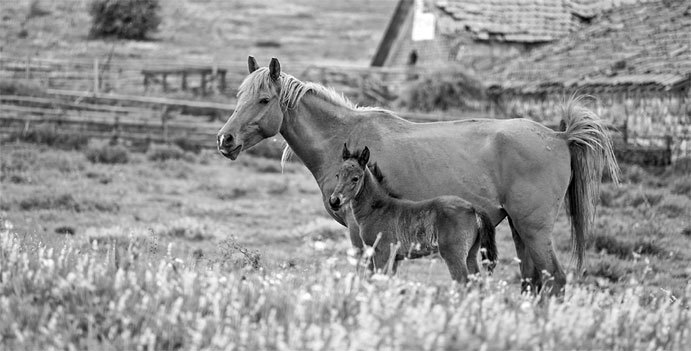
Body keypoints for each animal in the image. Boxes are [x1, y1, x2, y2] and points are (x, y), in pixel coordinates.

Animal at [330, 144, 498, 284]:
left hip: (453, 254)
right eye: (337, 175)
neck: (377, 209)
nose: (334, 201)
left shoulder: (382, 252)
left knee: (463, 281)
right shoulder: (394, 258)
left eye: (355, 178)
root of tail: (472, 207)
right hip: (471, 253)